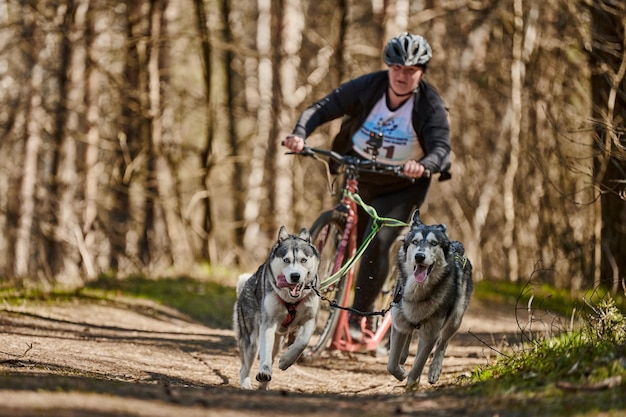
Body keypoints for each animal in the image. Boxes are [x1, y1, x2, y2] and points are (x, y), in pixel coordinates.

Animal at [232, 226, 320, 388]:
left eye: (304, 260)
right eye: (286, 260)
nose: (295, 276)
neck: (291, 300)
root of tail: (244, 286)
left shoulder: (310, 319)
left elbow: (302, 342)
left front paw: (286, 360)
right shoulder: (268, 323)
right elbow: (265, 352)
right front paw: (264, 370)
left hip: (278, 341)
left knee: (273, 354)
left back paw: (264, 385)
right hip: (251, 341)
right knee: (245, 366)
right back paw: (247, 384)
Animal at [388, 211, 470, 390]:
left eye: (434, 243)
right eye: (415, 241)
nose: (419, 257)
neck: (418, 292)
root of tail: (456, 247)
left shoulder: (430, 334)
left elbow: (418, 364)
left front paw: (412, 384)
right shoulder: (398, 323)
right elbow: (391, 364)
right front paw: (401, 372)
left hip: (455, 319)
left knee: (443, 343)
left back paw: (434, 370)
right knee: (409, 335)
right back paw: (404, 356)